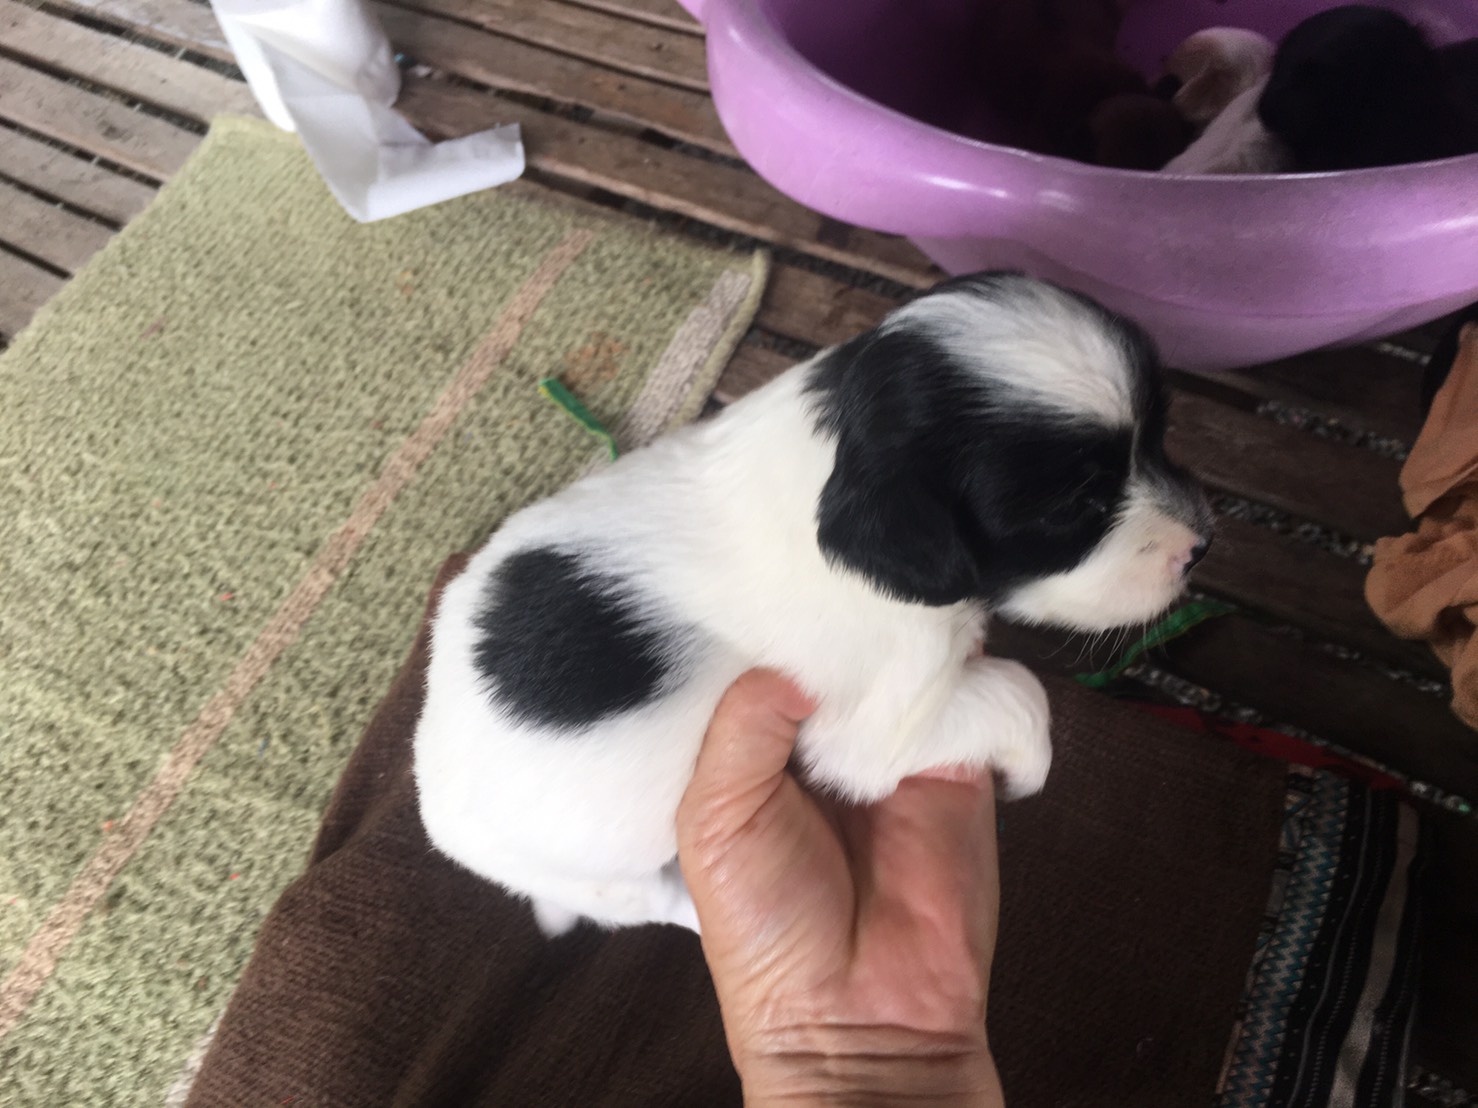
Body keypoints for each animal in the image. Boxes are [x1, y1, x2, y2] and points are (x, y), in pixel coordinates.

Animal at [413, 273, 1213, 934]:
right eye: (1076, 507)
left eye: (1159, 436)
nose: (1202, 547)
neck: (837, 450)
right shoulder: (875, 727)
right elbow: (1022, 696)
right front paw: (1027, 767)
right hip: (605, 873)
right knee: (648, 900)